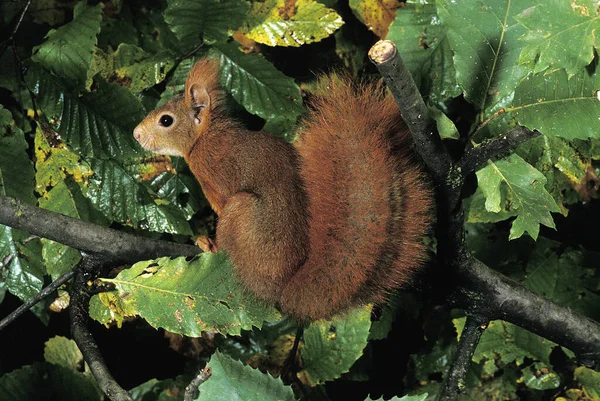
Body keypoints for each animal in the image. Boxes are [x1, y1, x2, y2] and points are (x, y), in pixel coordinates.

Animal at [132, 57, 432, 322]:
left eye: (166, 121)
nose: (135, 134)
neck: (206, 139)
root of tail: (281, 291)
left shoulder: (219, 182)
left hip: (242, 211)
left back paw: (211, 245)